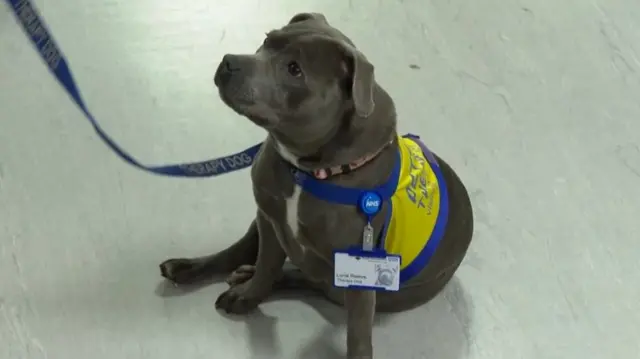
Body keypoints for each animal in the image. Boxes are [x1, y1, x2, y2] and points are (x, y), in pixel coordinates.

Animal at [158, 12, 472, 359]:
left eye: (294, 69)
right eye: (267, 40)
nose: (229, 61)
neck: (307, 170)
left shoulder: (358, 273)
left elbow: (358, 331)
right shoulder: (270, 219)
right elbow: (266, 264)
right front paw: (249, 294)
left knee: (311, 280)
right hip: (262, 220)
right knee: (242, 252)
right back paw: (191, 267)